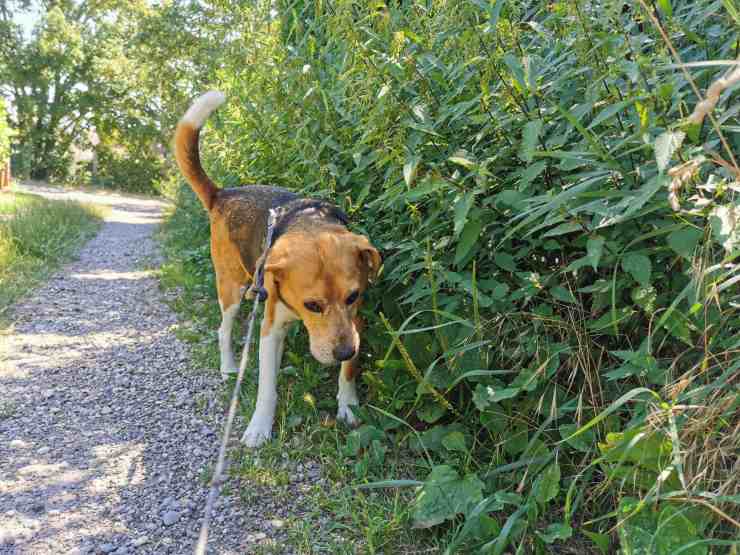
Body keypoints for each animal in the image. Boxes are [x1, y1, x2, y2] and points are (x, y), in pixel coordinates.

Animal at [174, 91, 382, 448]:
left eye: (353, 297)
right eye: (313, 305)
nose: (344, 351)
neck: (309, 225)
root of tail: (223, 193)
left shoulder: (357, 322)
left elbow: (349, 374)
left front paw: (347, 405)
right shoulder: (270, 327)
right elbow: (266, 388)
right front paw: (259, 426)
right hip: (231, 288)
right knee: (224, 329)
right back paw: (229, 366)